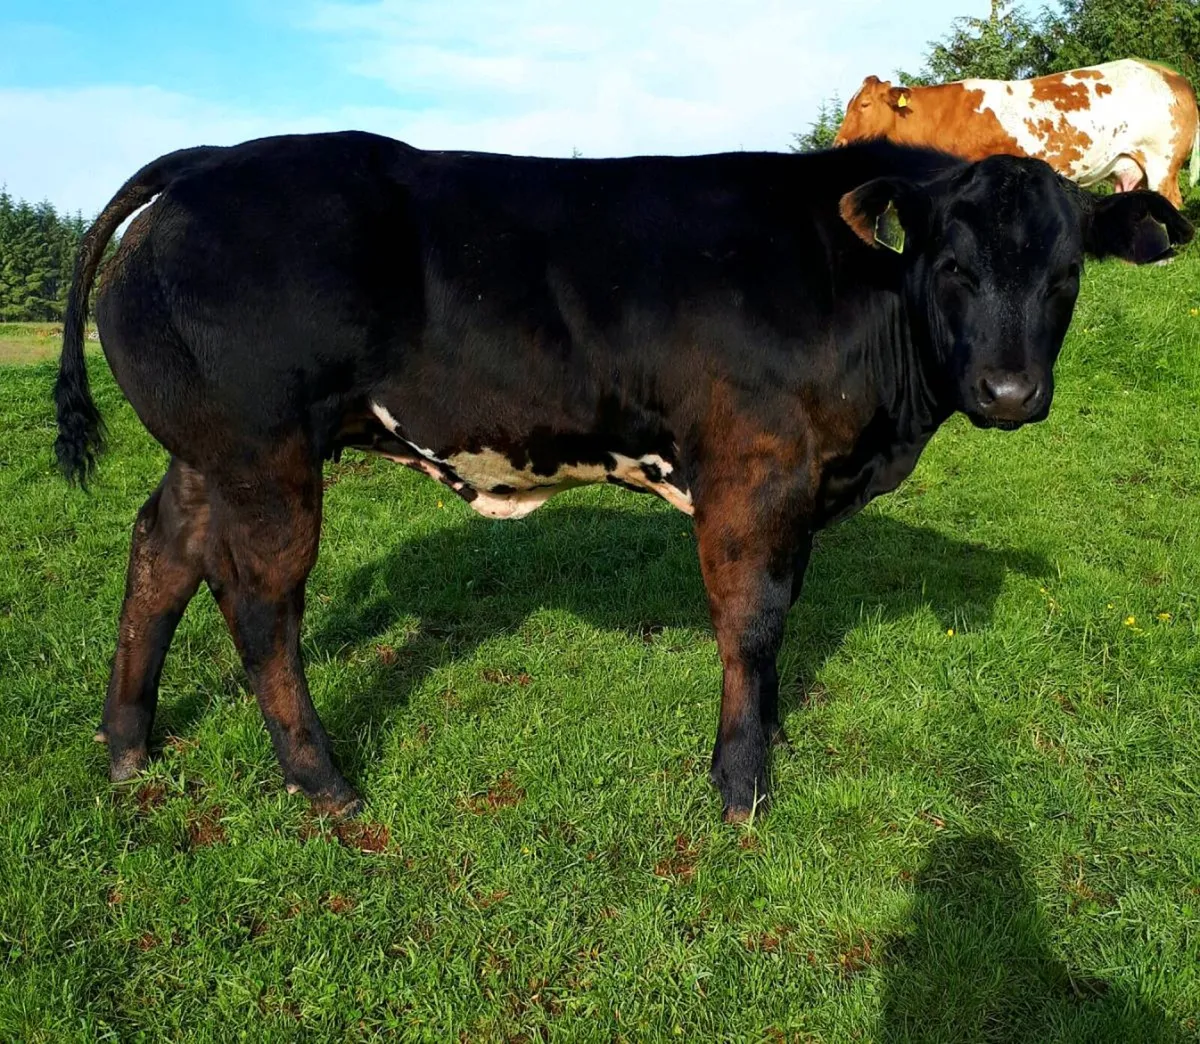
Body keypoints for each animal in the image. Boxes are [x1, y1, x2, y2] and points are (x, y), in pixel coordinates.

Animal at [54, 132, 1192, 823]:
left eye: (1067, 275)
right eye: (952, 266)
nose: (1009, 390)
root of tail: (210, 162)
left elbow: (781, 617)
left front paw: (769, 731)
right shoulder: (754, 471)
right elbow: (753, 619)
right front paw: (741, 782)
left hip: (206, 451)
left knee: (160, 553)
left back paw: (126, 744)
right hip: (265, 455)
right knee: (258, 605)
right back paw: (323, 781)